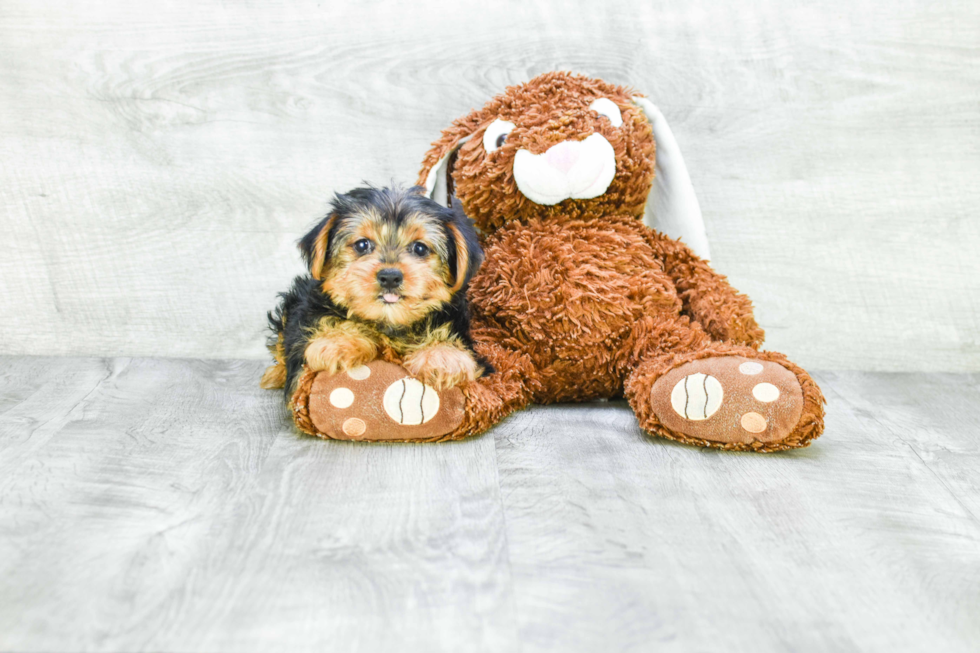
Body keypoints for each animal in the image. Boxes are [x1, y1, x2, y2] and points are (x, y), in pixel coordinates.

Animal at [260, 183, 490, 398]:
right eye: (362, 245)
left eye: (420, 248)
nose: (390, 277)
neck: (388, 322)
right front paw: (338, 341)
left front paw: (442, 355)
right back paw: (274, 374)